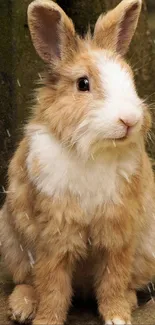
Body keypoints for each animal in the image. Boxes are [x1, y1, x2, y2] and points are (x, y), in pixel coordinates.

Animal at [0, 0, 155, 322]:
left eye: (131, 79)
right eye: (83, 84)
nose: (129, 120)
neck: (94, 149)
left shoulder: (117, 228)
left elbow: (113, 277)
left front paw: (117, 316)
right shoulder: (54, 231)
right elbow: (52, 283)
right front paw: (46, 320)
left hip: (146, 251)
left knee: (128, 283)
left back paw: (129, 301)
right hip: (11, 243)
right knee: (26, 281)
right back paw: (21, 308)